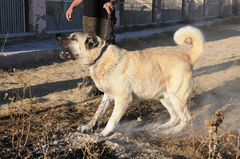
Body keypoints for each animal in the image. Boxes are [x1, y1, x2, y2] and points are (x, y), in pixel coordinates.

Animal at [56, 26, 204, 137]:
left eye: (74, 38)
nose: (57, 36)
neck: (100, 56)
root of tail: (187, 57)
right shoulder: (108, 96)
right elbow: (97, 114)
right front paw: (87, 127)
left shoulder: (123, 99)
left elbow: (112, 119)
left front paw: (103, 133)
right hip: (165, 98)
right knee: (175, 117)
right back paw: (162, 126)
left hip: (176, 99)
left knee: (186, 118)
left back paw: (173, 131)